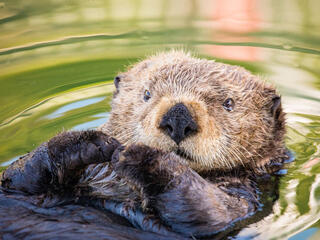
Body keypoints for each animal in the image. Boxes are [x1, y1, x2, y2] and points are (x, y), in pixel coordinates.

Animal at [0, 50, 290, 238]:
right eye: (146, 94)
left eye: (228, 103)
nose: (178, 116)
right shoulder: (22, 187)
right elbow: (18, 177)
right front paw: (87, 142)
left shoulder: (245, 198)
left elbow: (211, 212)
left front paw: (140, 156)